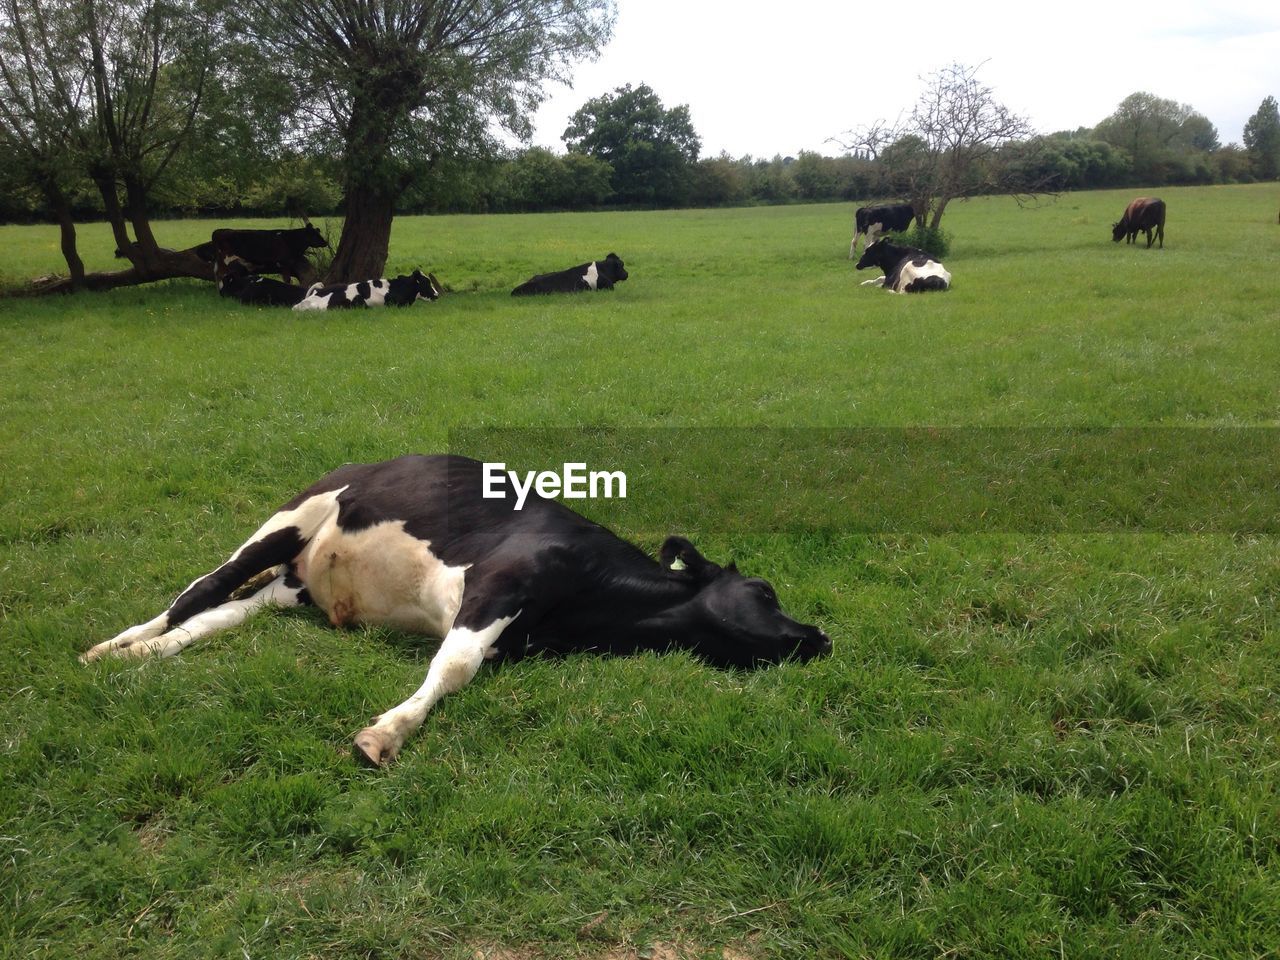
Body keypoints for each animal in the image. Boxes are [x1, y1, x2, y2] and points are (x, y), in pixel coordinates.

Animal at [85, 455, 834, 768]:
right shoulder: (497, 585)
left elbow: (462, 666)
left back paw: (144, 654)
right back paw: (113, 647)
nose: (821, 636)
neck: (590, 611)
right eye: (765, 592)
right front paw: (385, 734)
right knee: (201, 588)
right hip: (292, 518)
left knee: (217, 617)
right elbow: (454, 669)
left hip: (290, 586)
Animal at [193, 221, 327, 285]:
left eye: (318, 232)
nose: (325, 242)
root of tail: (219, 230)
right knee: (220, 274)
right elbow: (287, 279)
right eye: (314, 234)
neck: (289, 239)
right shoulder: (285, 262)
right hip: (225, 258)